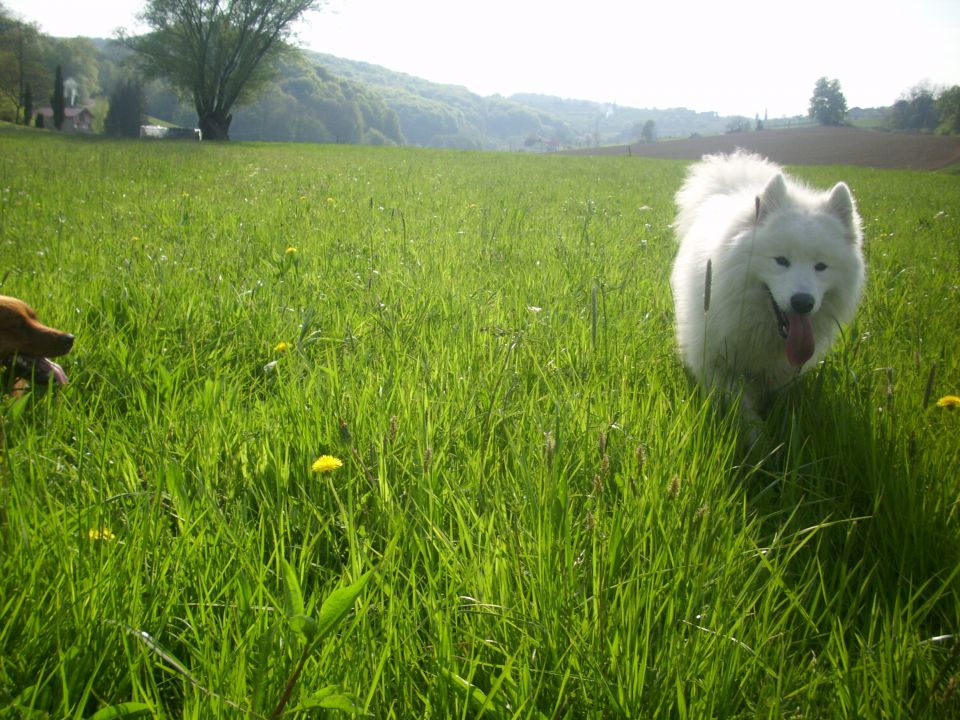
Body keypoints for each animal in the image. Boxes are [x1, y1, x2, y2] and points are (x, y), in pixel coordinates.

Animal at [672, 152, 868, 416]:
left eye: (821, 266)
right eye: (781, 260)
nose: (803, 302)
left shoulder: (779, 374)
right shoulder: (717, 364)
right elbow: (741, 405)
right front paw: (753, 427)